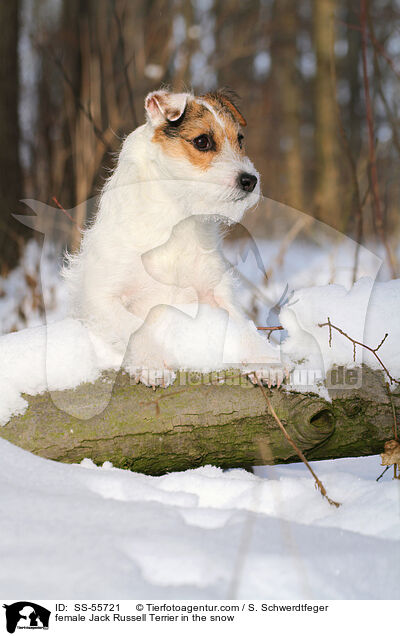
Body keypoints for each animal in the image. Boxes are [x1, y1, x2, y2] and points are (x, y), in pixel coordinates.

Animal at [63, 88, 282, 388]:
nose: (250, 181)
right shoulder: (100, 299)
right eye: (202, 141)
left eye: (240, 140)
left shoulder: (217, 294)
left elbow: (245, 325)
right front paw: (151, 362)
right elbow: (135, 327)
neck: (178, 217)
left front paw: (265, 359)